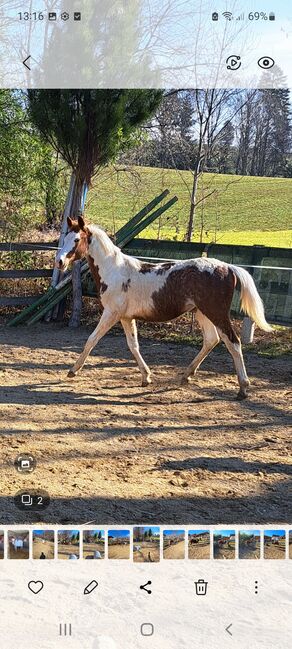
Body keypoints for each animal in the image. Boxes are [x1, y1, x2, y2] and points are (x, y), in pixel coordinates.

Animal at [56, 215, 272, 398]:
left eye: (76, 240)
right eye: (65, 237)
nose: (59, 262)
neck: (114, 271)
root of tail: (227, 267)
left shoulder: (111, 313)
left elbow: (91, 340)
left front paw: (72, 371)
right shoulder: (126, 317)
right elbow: (133, 345)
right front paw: (146, 377)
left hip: (216, 313)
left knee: (233, 342)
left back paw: (243, 388)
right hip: (202, 313)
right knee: (212, 340)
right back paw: (186, 375)